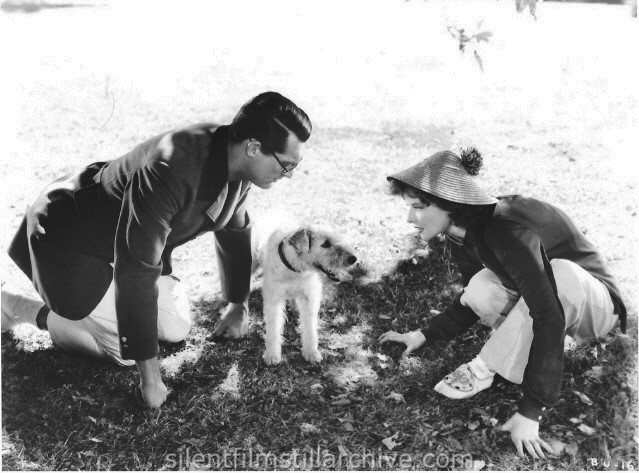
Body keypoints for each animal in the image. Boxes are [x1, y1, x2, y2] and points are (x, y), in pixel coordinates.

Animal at [252, 218, 358, 366]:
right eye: (325, 244)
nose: (353, 258)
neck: (295, 269)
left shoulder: (310, 297)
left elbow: (310, 328)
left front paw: (311, 353)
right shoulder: (274, 300)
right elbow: (273, 329)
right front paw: (272, 355)